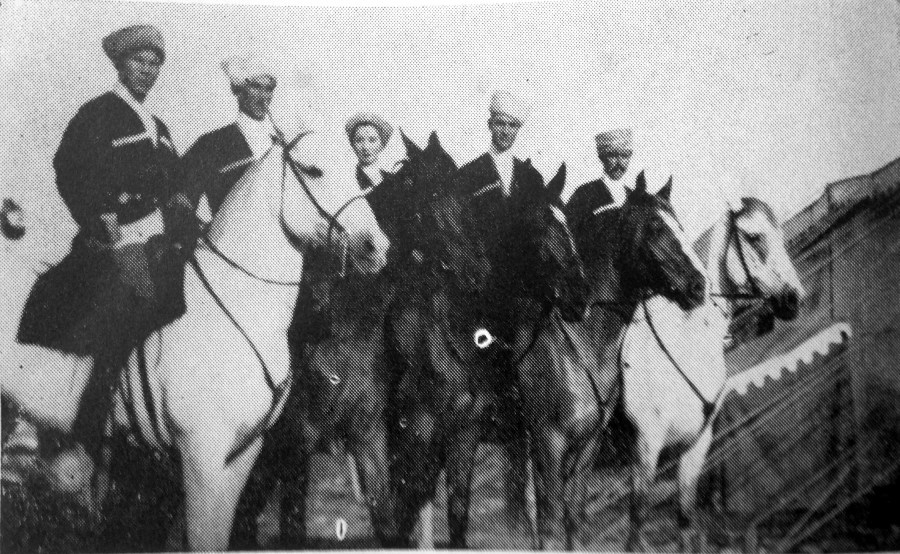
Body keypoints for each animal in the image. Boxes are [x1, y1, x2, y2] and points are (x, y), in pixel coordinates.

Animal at [0, 135, 390, 551]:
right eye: (313, 170)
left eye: (357, 171)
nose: (376, 245)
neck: (234, 306)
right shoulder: (201, 452)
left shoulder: (242, 454)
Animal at [502, 173, 707, 550]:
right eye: (655, 226)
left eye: (679, 224)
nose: (698, 286)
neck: (585, 342)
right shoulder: (549, 442)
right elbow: (552, 520)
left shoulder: (589, 443)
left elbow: (574, 517)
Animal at [618, 196, 805, 551]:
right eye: (754, 237)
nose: (793, 300)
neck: (687, 341)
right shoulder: (646, 446)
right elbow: (636, 522)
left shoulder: (696, 444)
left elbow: (686, 519)